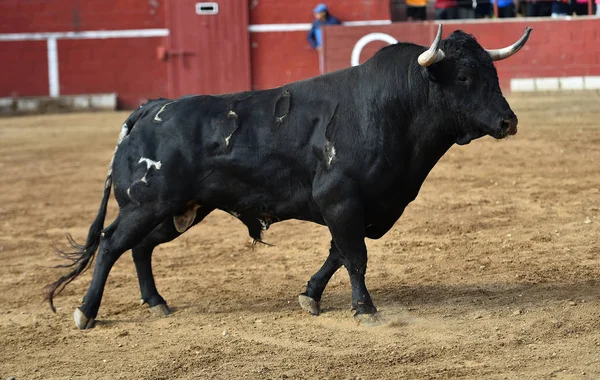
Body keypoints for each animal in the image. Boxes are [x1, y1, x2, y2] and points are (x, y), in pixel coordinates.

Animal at [48, 25, 536, 328]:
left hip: (178, 210)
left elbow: (339, 253)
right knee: (111, 243)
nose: (509, 121)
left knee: (141, 247)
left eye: (493, 72)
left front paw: (311, 296)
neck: (393, 106)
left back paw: (157, 303)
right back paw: (86, 313)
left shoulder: (366, 206)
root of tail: (149, 109)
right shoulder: (341, 198)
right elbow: (355, 256)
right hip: (145, 203)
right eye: (465, 75)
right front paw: (365, 309)